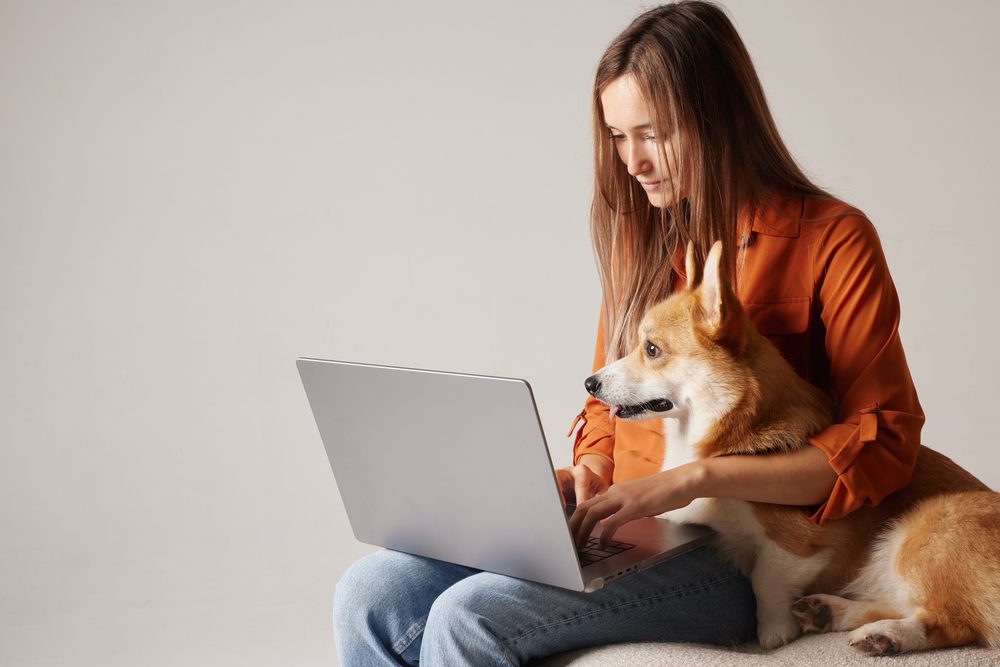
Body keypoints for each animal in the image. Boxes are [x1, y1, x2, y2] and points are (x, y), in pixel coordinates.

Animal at [584, 240, 996, 652]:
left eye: (652, 349)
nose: (590, 383)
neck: (729, 434)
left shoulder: (799, 542)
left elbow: (766, 577)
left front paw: (774, 631)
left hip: (925, 527)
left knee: (952, 621)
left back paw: (886, 636)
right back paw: (833, 613)